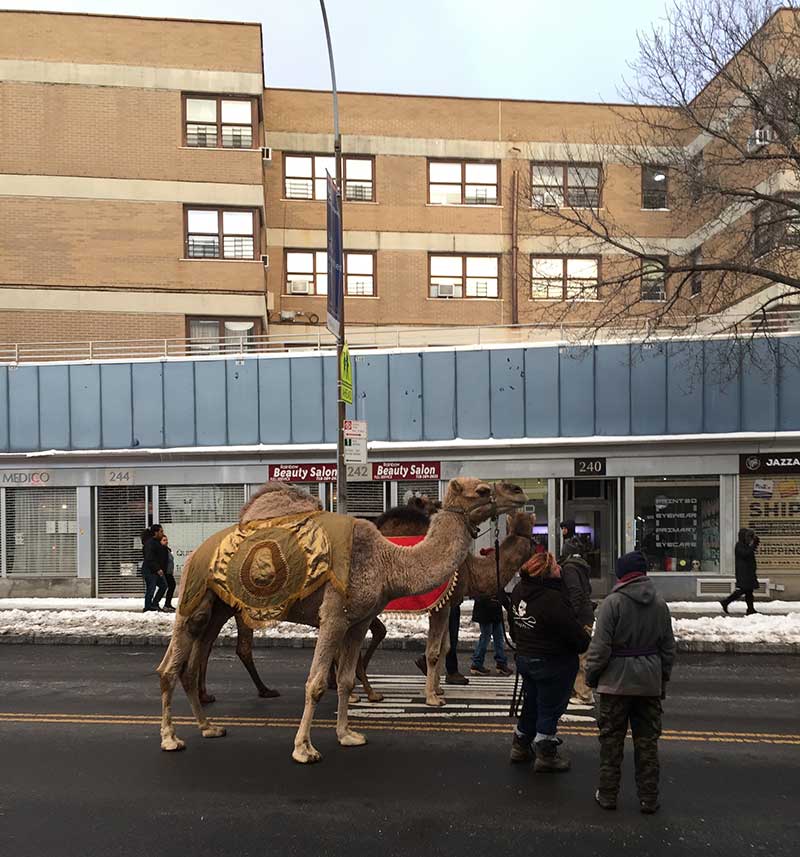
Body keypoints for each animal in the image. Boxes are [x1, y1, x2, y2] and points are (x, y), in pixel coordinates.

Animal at [159, 474, 528, 764]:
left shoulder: (359, 621)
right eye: (482, 490)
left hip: (219, 606)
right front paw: (304, 749)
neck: (388, 560)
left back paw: (208, 727)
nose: (518, 490)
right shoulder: (334, 616)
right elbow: (316, 682)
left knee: (191, 663)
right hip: (194, 596)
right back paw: (170, 738)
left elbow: (347, 679)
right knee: (170, 667)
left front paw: (348, 734)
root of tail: (195, 553)